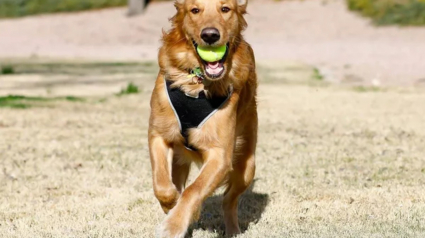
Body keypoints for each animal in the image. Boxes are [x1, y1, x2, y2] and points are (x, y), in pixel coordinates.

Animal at [147, 0, 256, 235]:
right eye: (195, 10)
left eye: (225, 9)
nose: (210, 35)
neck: (197, 83)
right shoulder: (158, 134)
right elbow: (162, 184)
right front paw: (170, 204)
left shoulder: (220, 155)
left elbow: (194, 190)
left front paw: (173, 225)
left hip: (247, 166)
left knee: (228, 200)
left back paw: (232, 230)